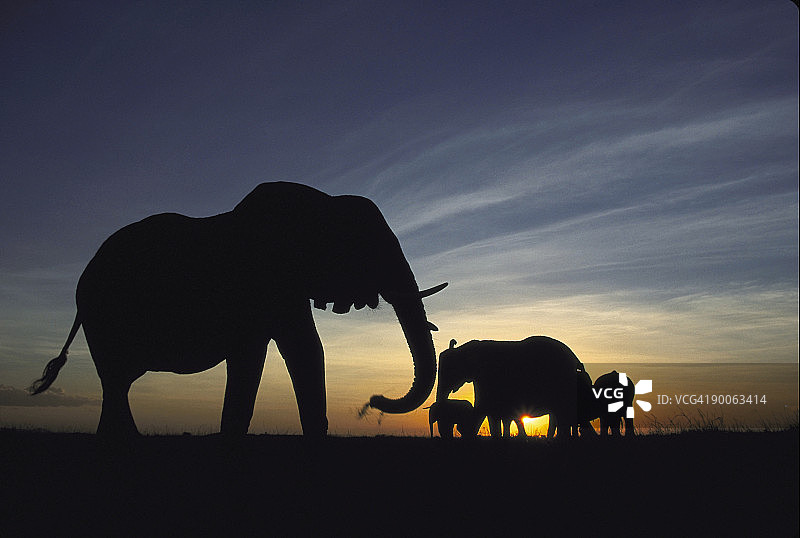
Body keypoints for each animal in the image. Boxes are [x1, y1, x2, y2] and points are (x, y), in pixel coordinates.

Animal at [29, 182, 447, 438]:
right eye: (369, 248)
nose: (373, 401)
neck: (321, 201)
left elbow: (282, 353)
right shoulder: (266, 279)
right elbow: (289, 351)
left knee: (117, 383)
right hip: (102, 314)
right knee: (116, 380)